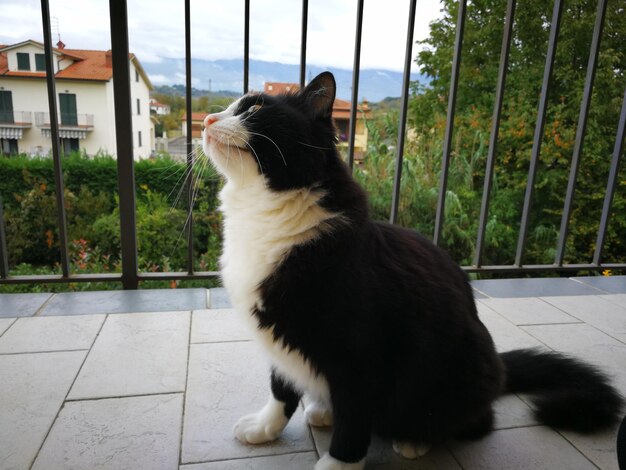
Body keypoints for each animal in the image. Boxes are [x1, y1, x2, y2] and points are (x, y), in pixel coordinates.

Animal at [202, 71, 620, 468]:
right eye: (227, 108)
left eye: (255, 108)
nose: (206, 120)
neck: (265, 217)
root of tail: (498, 365)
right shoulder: (278, 332)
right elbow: (281, 388)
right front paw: (265, 427)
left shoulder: (359, 353)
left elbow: (354, 417)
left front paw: (340, 463)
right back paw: (324, 409)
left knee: (476, 421)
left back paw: (414, 439)